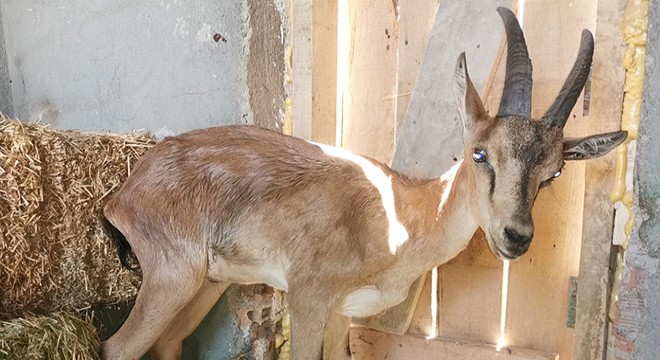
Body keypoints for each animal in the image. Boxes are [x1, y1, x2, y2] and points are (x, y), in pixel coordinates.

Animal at [100, 7, 628, 360]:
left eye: (553, 172)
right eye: (481, 153)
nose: (516, 237)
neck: (402, 217)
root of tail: (121, 195)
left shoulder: (339, 313)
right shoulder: (308, 297)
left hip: (208, 283)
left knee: (167, 343)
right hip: (173, 277)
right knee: (116, 348)